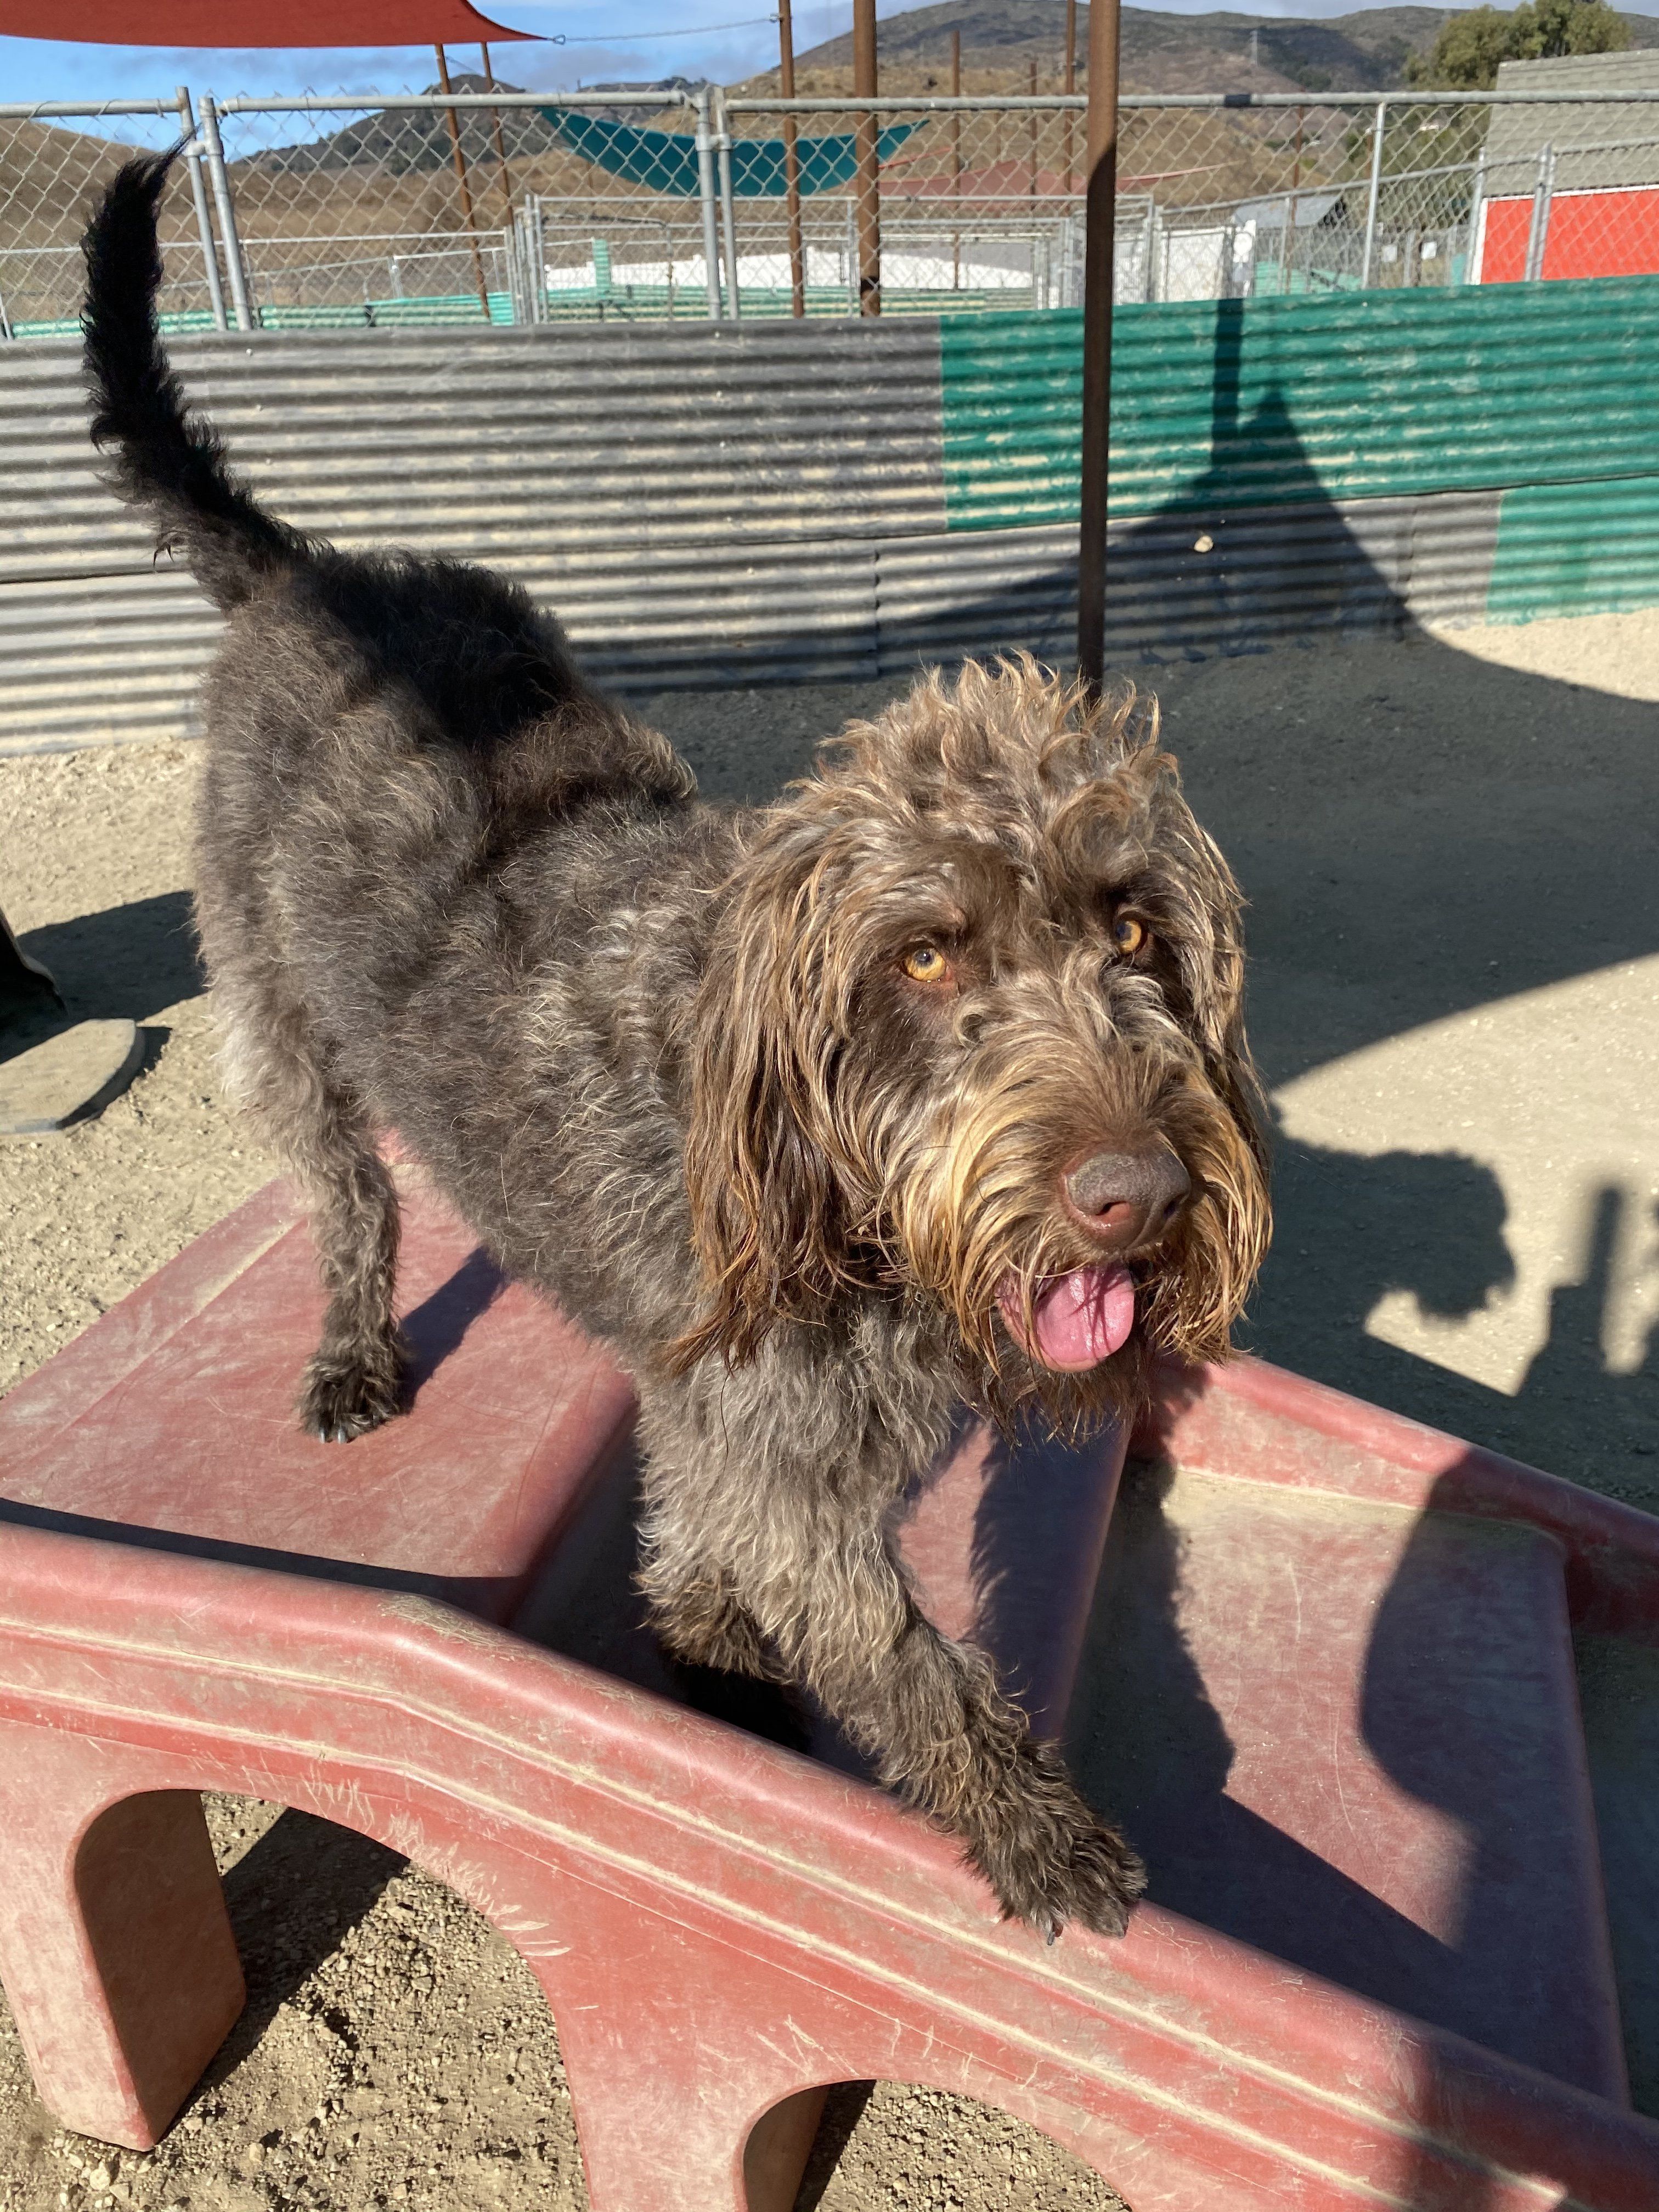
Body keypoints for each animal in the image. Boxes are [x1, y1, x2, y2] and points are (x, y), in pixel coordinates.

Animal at [81, 156, 1274, 1946]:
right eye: (926, 954)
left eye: (1135, 930)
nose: (1135, 1192)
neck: (839, 1187)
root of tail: (312, 575)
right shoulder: (791, 1462)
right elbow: (905, 1658)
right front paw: (1028, 1821)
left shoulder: (749, 1421)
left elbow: (712, 1527)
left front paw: (704, 1635)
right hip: (281, 1018)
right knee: (352, 1201)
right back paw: (354, 1348)